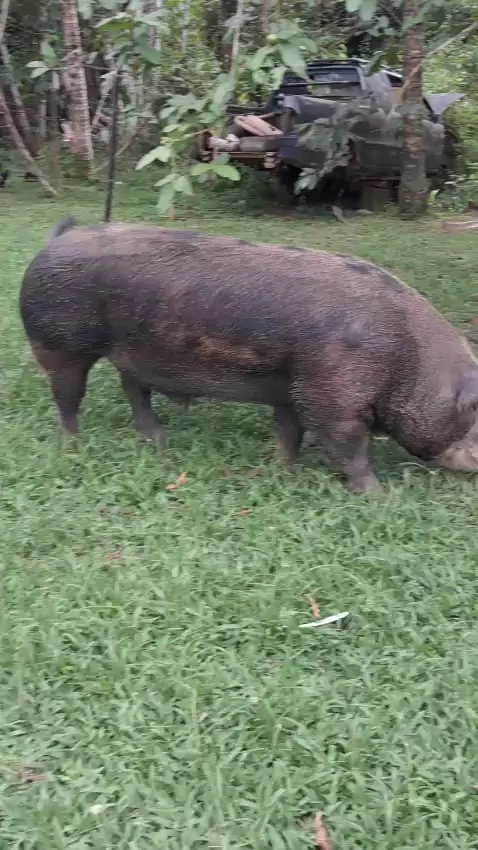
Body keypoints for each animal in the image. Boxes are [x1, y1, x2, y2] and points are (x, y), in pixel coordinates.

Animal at [19, 216, 478, 493]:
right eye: (472, 411)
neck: (407, 356)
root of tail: (56, 239)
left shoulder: (293, 387)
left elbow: (289, 431)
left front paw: (283, 471)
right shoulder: (329, 394)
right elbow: (347, 445)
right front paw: (380, 496)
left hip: (131, 351)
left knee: (133, 389)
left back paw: (159, 441)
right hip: (57, 342)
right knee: (68, 395)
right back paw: (74, 445)